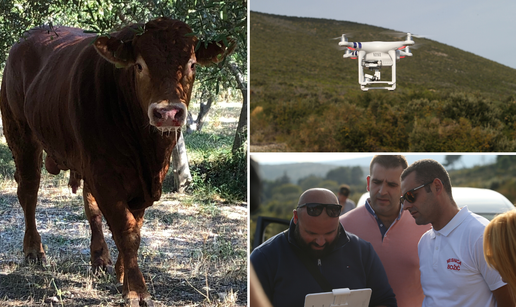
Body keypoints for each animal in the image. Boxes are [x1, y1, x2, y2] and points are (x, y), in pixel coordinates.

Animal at [0, 18, 234, 306]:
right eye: (140, 65)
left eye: (192, 64)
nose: (168, 112)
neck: (146, 149)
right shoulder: (105, 175)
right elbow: (127, 230)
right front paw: (136, 290)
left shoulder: (143, 181)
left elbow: (135, 225)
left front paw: (122, 273)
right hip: (20, 133)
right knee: (29, 192)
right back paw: (34, 250)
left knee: (90, 206)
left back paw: (100, 258)